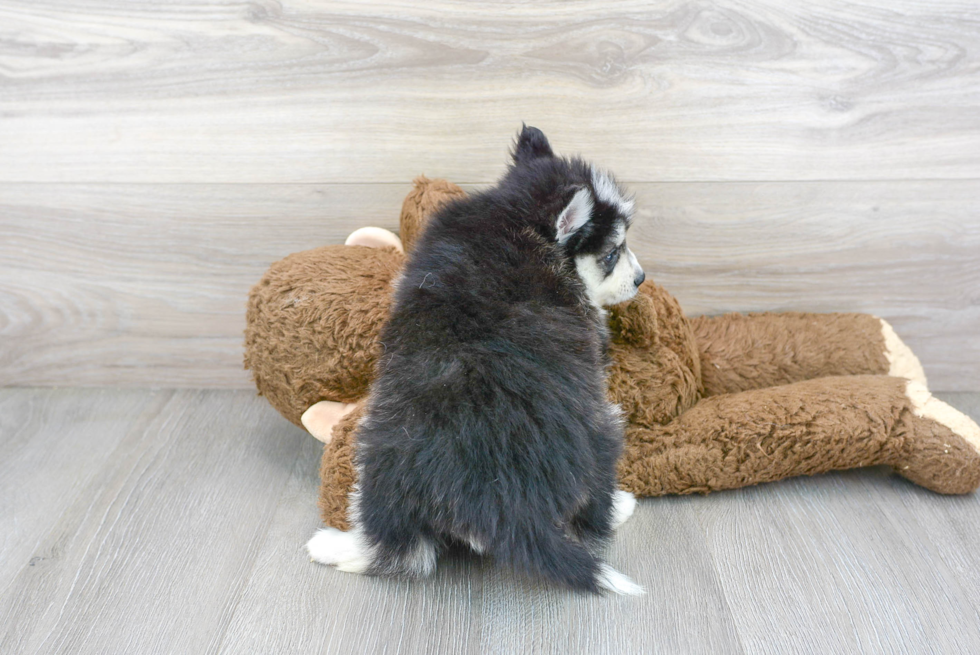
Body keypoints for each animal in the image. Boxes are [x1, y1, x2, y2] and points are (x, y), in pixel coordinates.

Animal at [306, 127, 644, 596]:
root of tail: (501, 498)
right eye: (613, 253)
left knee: (397, 549)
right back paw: (622, 506)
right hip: (604, 430)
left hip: (379, 455)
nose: (641, 279)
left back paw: (335, 546)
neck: (516, 214)